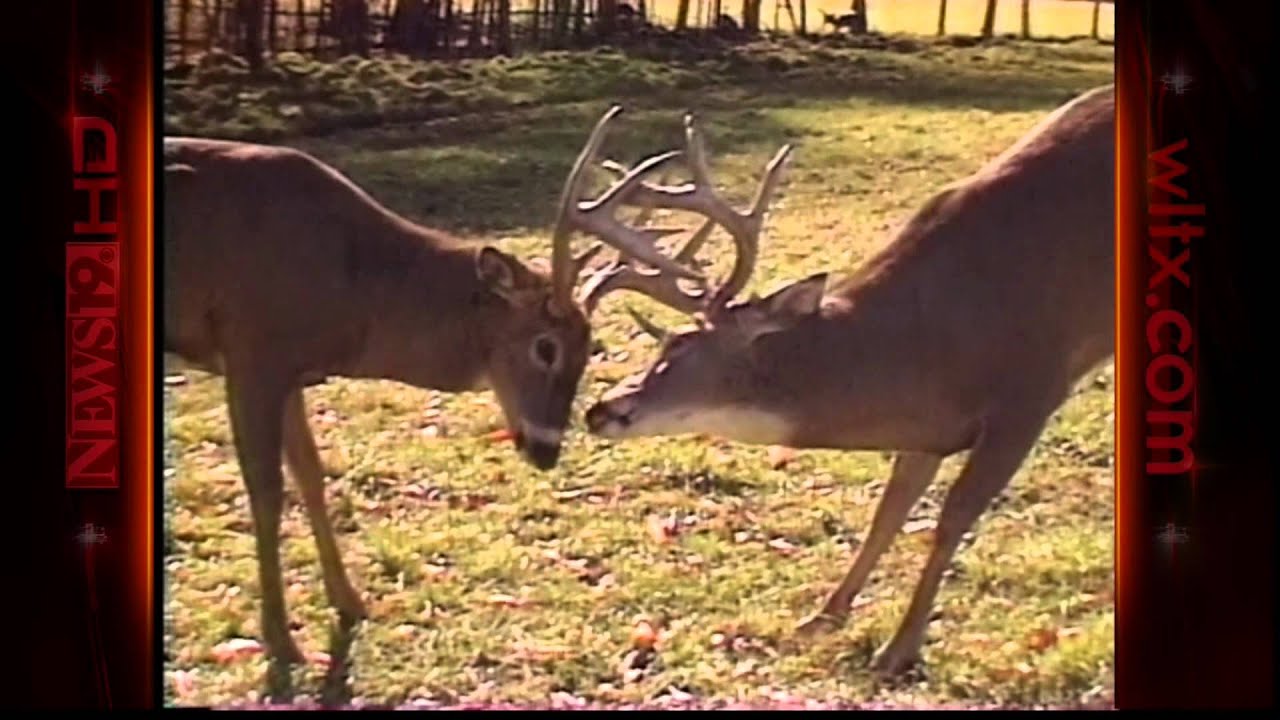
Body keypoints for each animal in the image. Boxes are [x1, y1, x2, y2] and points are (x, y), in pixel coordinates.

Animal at [162, 106, 701, 669]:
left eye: (589, 349)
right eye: (545, 347)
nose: (548, 450)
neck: (351, 290)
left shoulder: (288, 371)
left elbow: (310, 474)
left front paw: (351, 601)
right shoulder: (252, 350)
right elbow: (266, 491)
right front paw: (282, 642)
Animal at [582, 84, 1115, 676]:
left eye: (679, 348)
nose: (600, 409)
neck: (932, 338)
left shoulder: (1031, 390)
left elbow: (952, 516)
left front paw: (899, 648)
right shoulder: (930, 428)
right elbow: (889, 512)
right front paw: (822, 617)